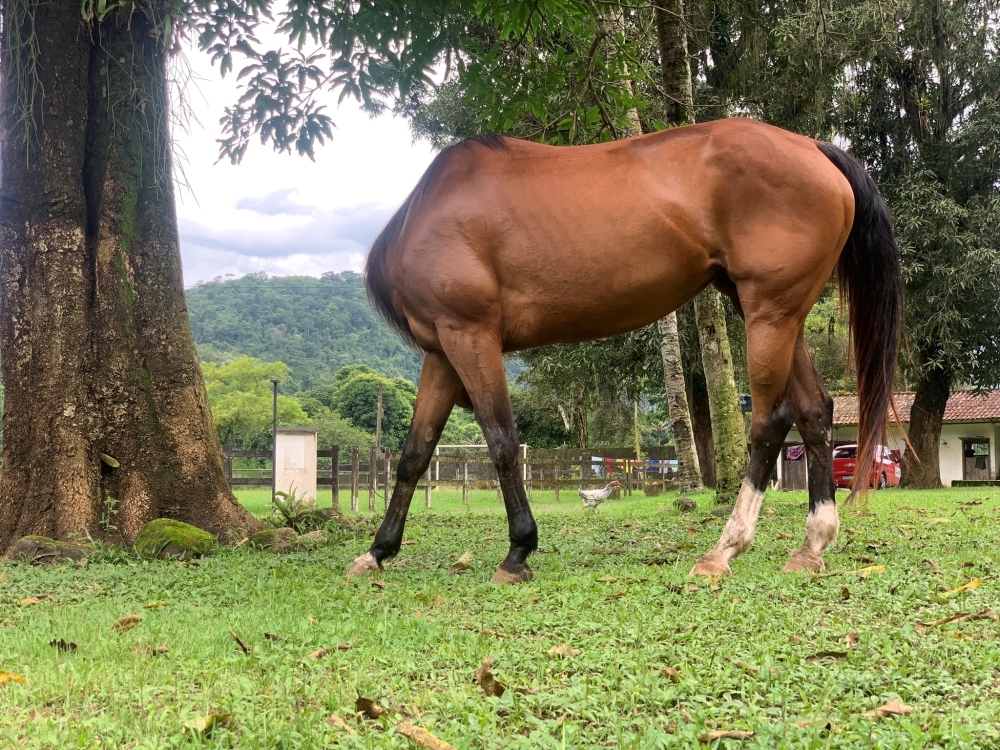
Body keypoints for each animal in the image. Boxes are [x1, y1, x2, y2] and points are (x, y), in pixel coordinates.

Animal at [349, 117, 901, 584]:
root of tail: (813, 148)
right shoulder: (442, 351)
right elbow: (414, 454)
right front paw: (377, 552)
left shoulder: (470, 334)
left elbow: (502, 442)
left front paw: (518, 551)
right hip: (779, 315)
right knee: (813, 412)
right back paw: (812, 545)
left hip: (769, 314)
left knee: (769, 421)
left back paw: (724, 549)